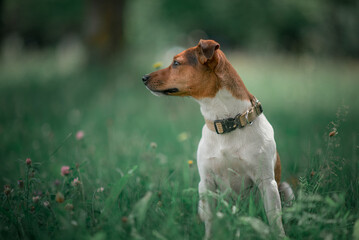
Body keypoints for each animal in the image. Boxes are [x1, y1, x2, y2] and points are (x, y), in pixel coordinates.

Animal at [142, 39, 294, 238]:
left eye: (176, 63)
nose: (143, 77)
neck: (226, 122)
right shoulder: (206, 182)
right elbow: (210, 221)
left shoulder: (267, 182)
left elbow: (275, 220)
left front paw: (280, 236)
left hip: (286, 189)